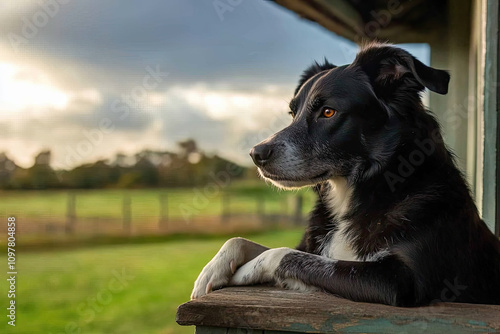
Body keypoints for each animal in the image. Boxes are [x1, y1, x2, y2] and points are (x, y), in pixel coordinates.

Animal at [190, 43, 500, 306]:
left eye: (328, 112)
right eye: (293, 114)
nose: (256, 154)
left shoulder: (399, 281)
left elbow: (283, 253)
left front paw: (243, 271)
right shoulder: (312, 247)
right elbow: (242, 240)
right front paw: (212, 270)